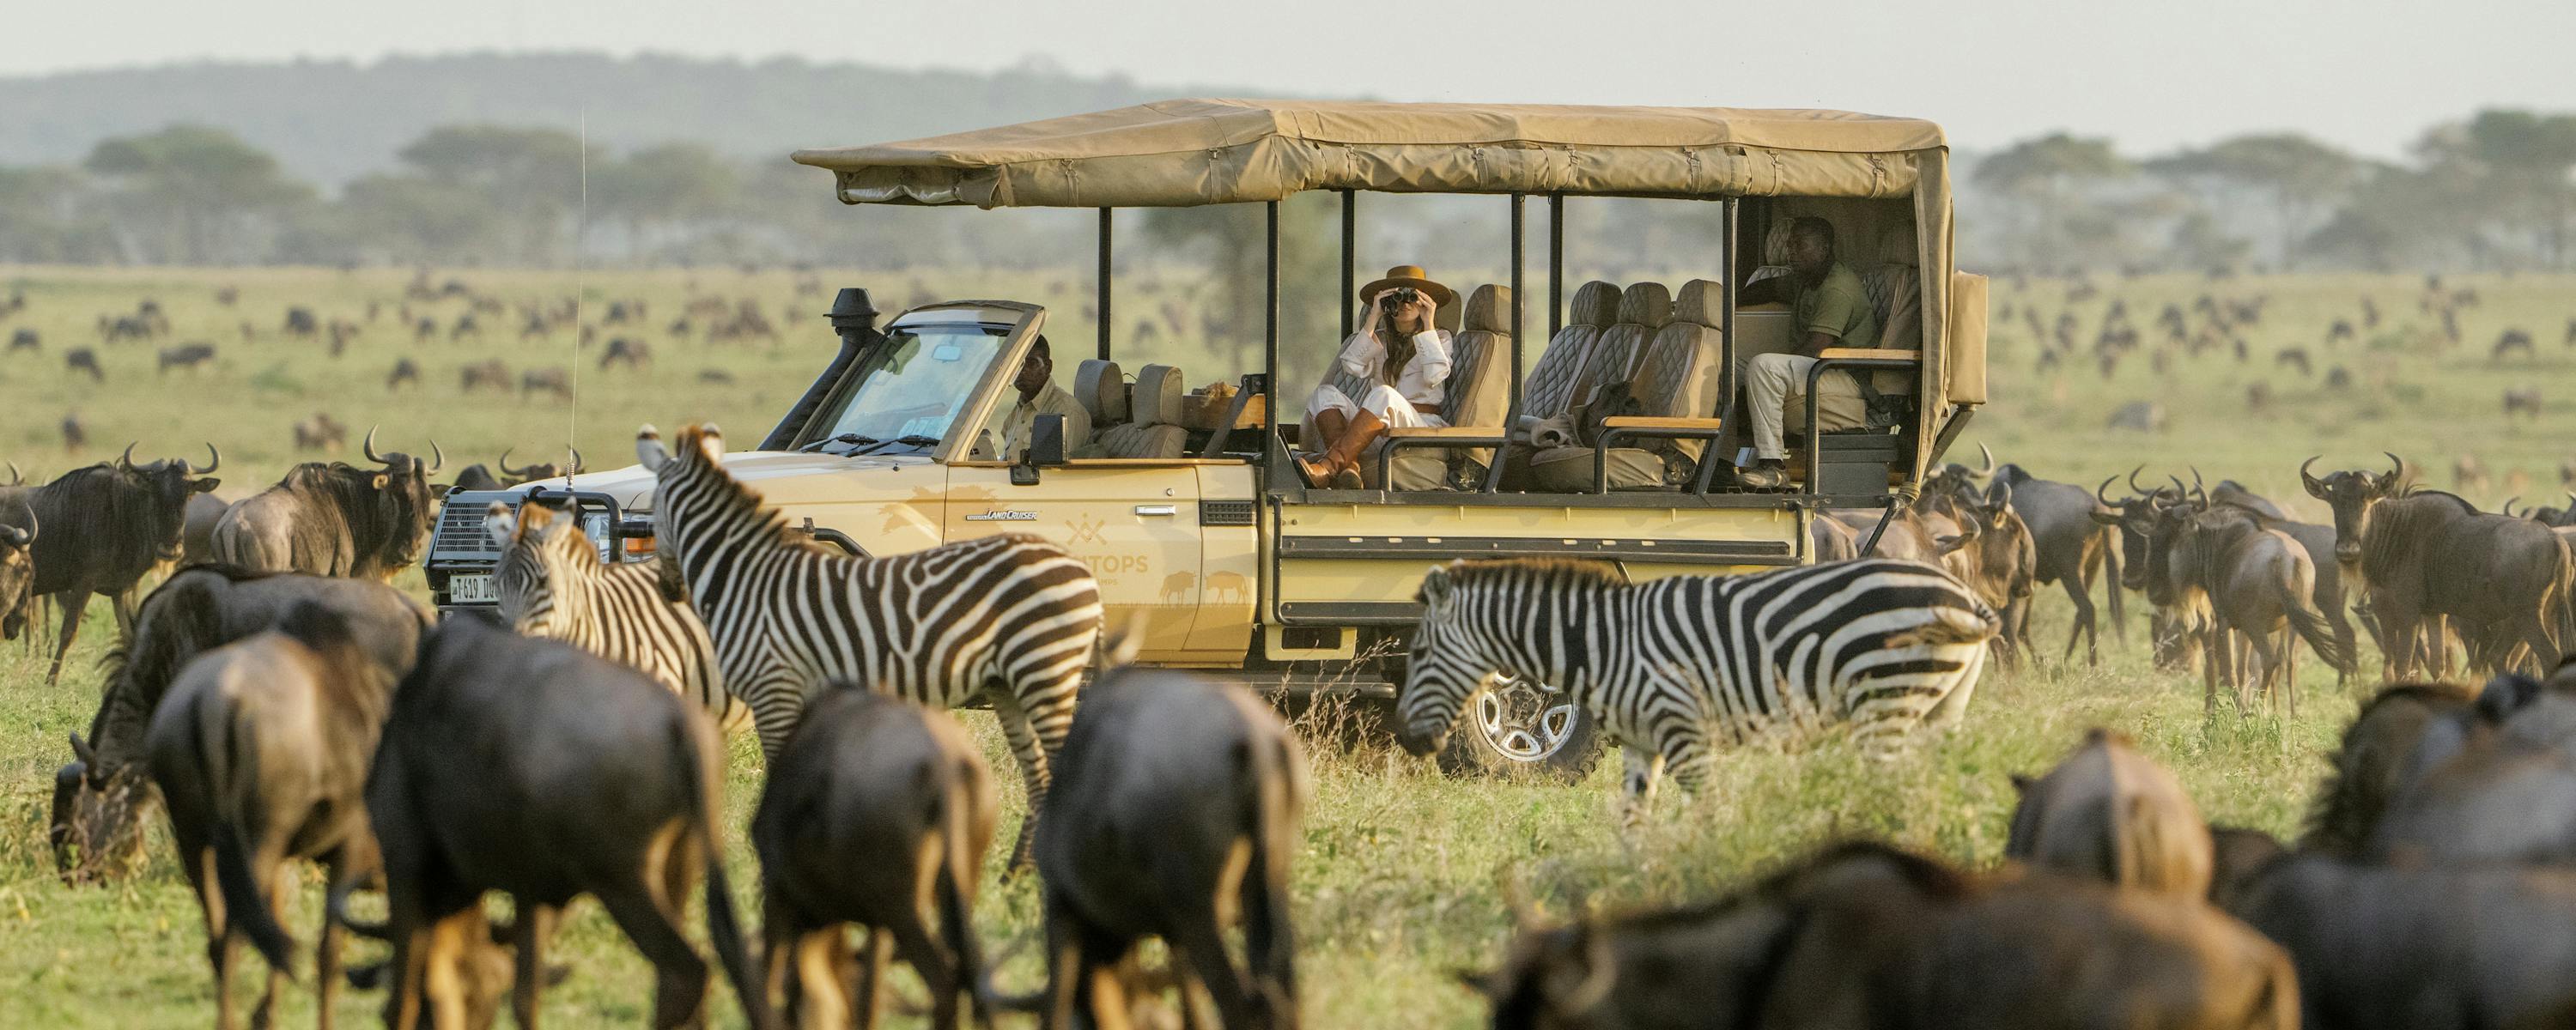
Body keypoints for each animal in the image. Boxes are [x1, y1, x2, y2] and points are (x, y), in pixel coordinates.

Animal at [635, 422, 1103, 866]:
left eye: (651, 515)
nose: (669, 588)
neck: (747, 576)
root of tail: (1082, 570)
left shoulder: (775, 688)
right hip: (1014, 683)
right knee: (1040, 777)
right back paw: (1015, 876)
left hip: (1043, 668)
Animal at [1396, 557, 1997, 825]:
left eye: (1418, 653)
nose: (1405, 740)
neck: (1603, 642)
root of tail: (1968, 597)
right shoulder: (1643, 743)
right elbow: (1632, 820)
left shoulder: (1685, 730)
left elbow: (1706, 814)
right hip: (1940, 709)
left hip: (1887, 702)